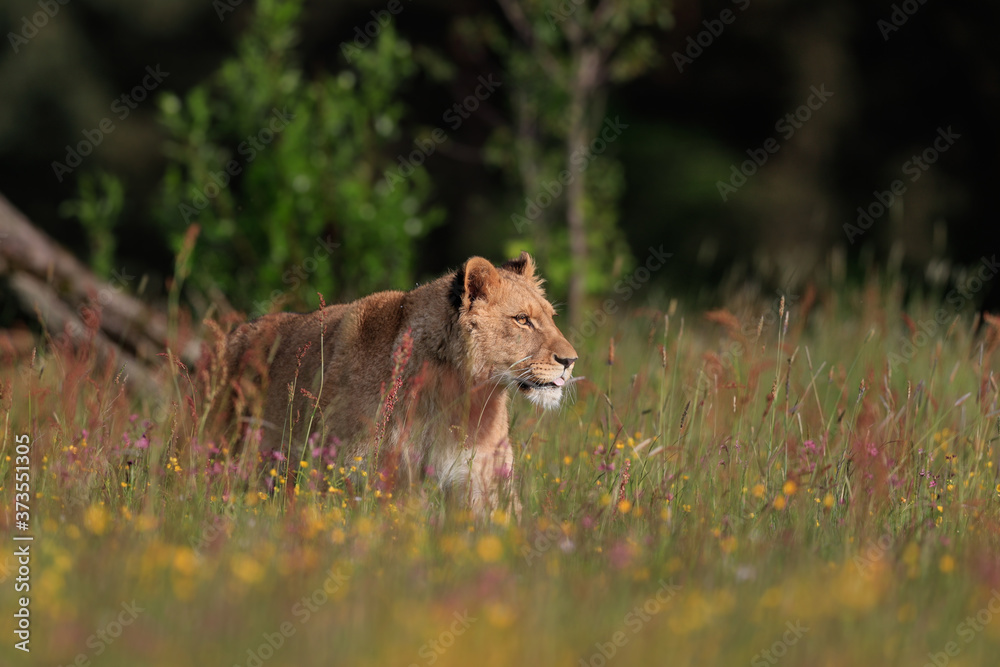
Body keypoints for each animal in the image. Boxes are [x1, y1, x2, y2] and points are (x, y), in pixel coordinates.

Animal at [220, 252, 578, 516]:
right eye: (522, 320)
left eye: (551, 317)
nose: (571, 360)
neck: (460, 393)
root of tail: (234, 334)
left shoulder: (481, 482)